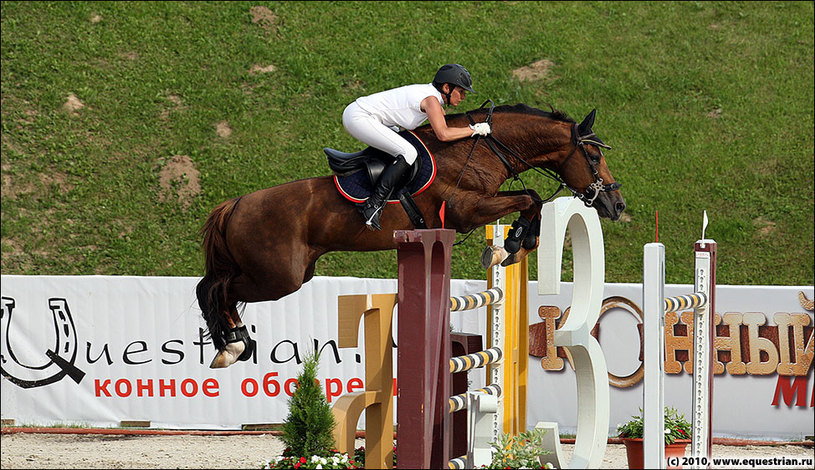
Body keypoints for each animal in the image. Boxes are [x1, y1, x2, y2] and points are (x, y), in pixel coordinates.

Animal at [196, 103, 624, 368]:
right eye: (593, 157)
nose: (616, 205)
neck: (482, 149)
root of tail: (235, 204)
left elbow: (531, 198)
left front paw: (515, 245)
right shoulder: (465, 210)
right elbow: (530, 197)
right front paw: (514, 244)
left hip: (289, 273)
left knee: (215, 286)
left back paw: (231, 344)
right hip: (278, 277)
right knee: (214, 288)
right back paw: (231, 346)